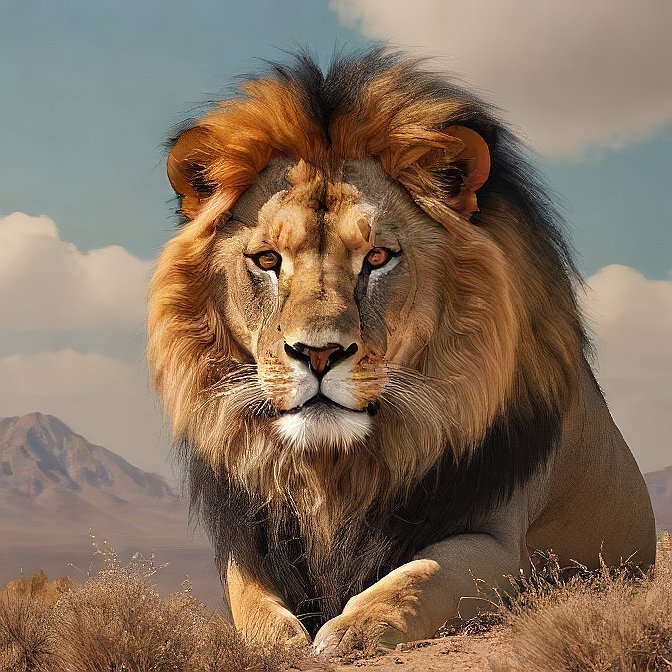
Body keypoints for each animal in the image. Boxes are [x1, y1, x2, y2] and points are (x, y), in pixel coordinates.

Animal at [147, 49, 656, 653]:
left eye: (378, 257)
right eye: (268, 260)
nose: (318, 354)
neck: (335, 470)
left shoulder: (499, 542)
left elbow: (419, 578)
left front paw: (349, 632)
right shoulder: (253, 544)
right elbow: (252, 604)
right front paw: (284, 640)